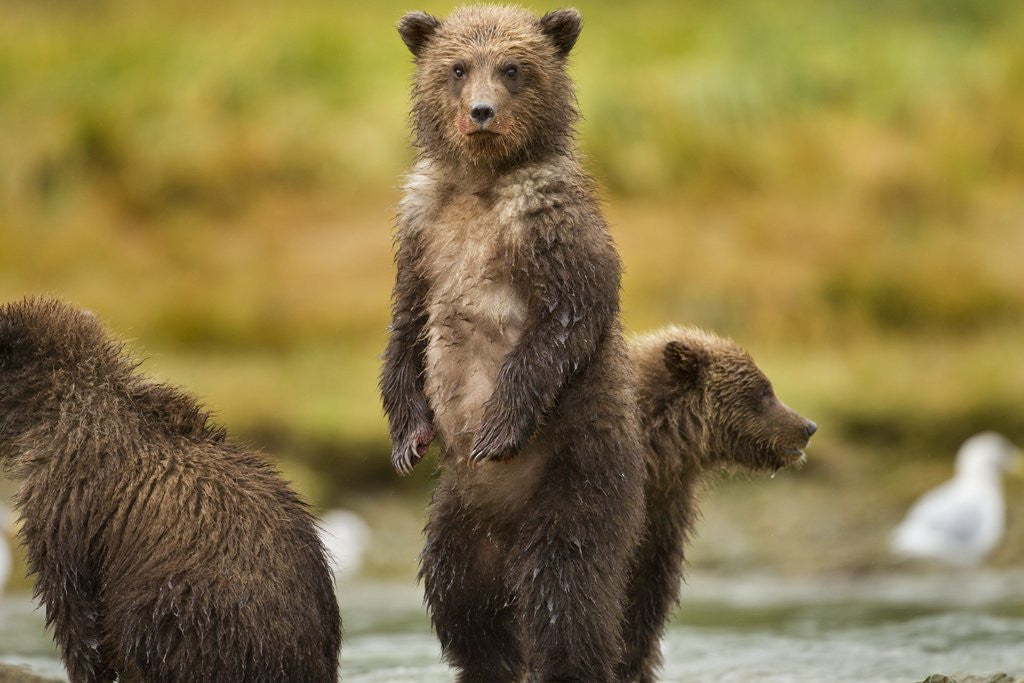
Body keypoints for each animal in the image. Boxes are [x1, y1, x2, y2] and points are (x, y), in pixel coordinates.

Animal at [379, 6, 646, 681]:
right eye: (456, 67)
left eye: (513, 67)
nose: (481, 112)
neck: (482, 182)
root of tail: (505, 530)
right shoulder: (421, 230)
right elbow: (406, 326)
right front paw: (408, 438)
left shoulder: (552, 224)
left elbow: (565, 321)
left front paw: (497, 427)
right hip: (457, 515)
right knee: (460, 604)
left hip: (577, 480)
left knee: (564, 592)